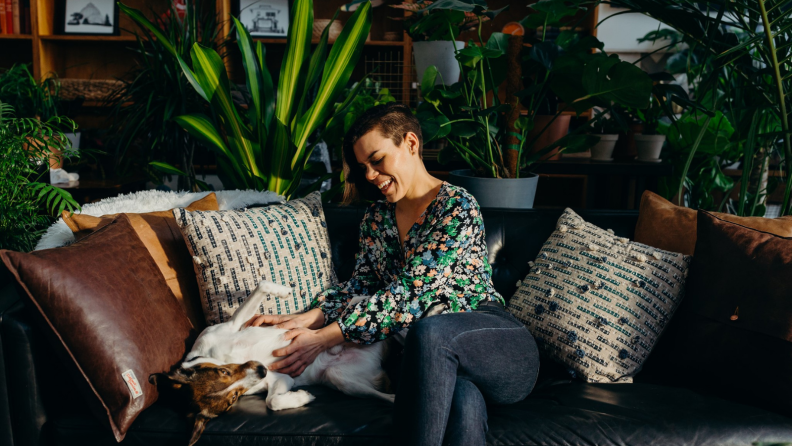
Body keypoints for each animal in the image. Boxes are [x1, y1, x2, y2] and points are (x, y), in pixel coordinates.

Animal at [149, 280, 402, 444]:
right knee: (383, 394)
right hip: (342, 379)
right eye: (233, 399)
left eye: (224, 372)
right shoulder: (281, 378)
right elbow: (273, 402)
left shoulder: (233, 325)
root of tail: (377, 359)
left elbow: (261, 285)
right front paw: (302, 397)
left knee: (352, 311)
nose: (262, 368)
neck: (225, 358)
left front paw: (284, 291)